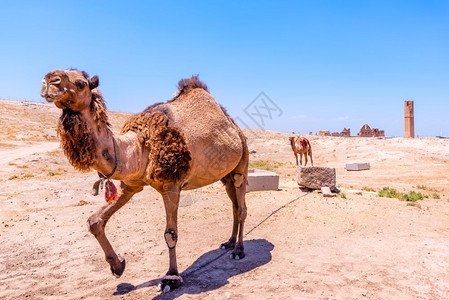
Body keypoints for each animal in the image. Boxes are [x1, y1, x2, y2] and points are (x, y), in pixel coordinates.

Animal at [40, 69, 248, 292]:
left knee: (241, 207)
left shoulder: (171, 185)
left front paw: (171, 278)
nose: (49, 81)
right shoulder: (130, 184)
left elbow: (170, 234)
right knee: (234, 206)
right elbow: (95, 220)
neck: (139, 146)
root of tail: (235, 128)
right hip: (225, 176)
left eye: (80, 83)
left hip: (242, 162)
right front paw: (118, 265)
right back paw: (228, 243)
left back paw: (239, 250)